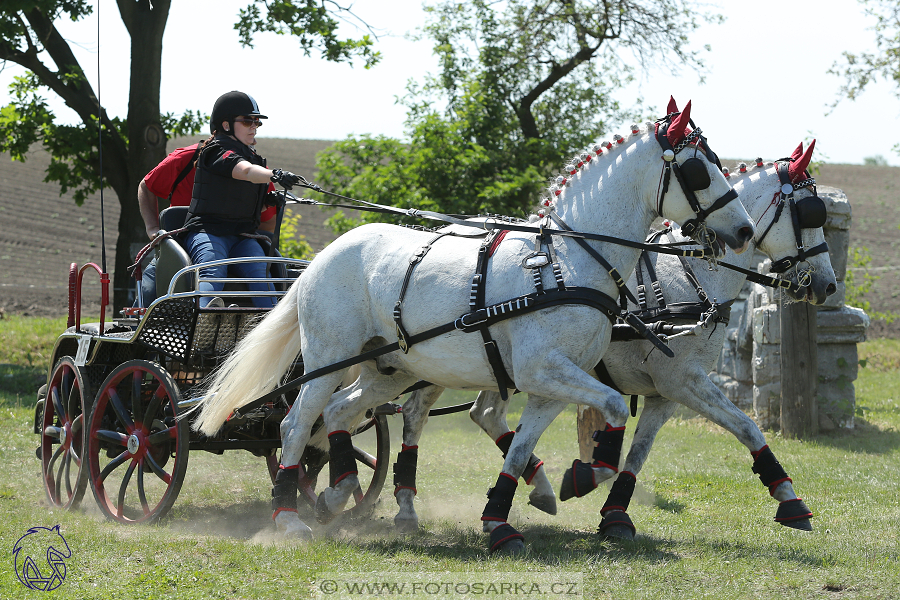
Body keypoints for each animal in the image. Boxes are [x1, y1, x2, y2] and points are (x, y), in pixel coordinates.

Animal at [193, 99, 756, 552]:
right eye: (699, 169)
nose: (746, 230)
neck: (567, 261)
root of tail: (323, 257)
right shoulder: (542, 369)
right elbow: (615, 407)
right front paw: (583, 475)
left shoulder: (550, 382)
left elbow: (522, 448)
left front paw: (503, 521)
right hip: (329, 357)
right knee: (295, 424)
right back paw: (289, 516)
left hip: (389, 368)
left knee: (339, 412)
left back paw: (338, 491)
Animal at [394, 141, 836, 540]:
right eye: (809, 213)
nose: (828, 285)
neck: (690, 276)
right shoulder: (683, 380)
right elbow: (747, 427)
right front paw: (789, 497)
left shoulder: (664, 394)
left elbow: (639, 455)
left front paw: (615, 514)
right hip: (444, 362)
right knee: (416, 414)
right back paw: (406, 505)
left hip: (499, 366)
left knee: (484, 413)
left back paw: (533, 486)